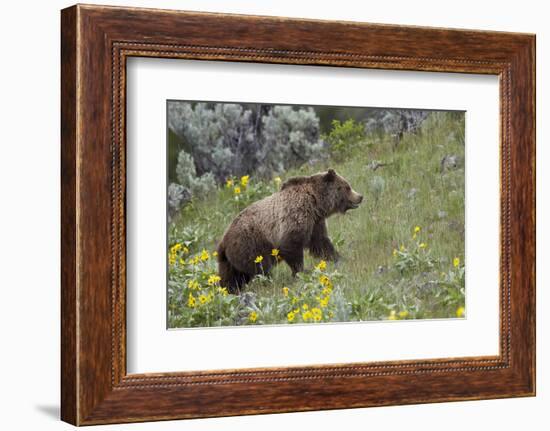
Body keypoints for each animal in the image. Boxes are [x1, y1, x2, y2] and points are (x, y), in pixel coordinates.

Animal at [218, 169, 364, 294]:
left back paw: (230, 290)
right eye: (347, 186)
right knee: (260, 268)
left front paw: (339, 258)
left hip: (230, 260)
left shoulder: (315, 223)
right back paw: (268, 282)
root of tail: (223, 241)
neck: (316, 203)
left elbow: (321, 244)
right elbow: (292, 247)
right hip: (250, 246)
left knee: (232, 277)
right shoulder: (294, 217)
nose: (360, 196)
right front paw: (299, 273)